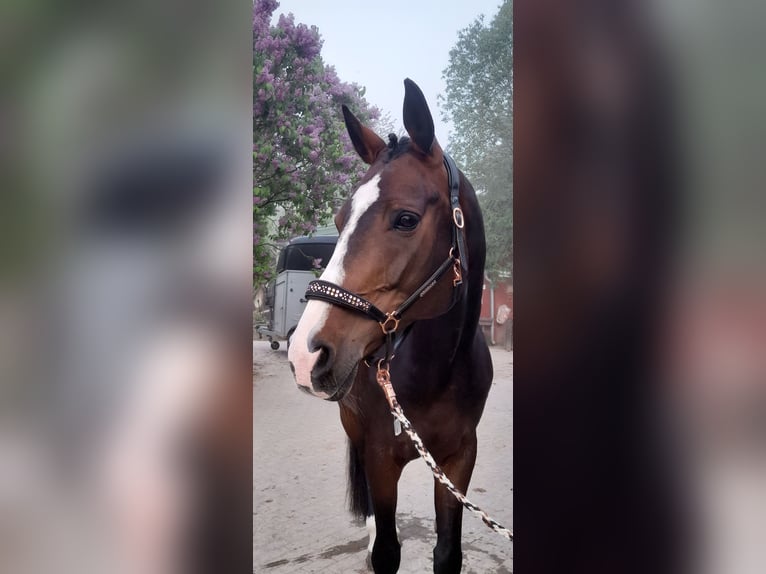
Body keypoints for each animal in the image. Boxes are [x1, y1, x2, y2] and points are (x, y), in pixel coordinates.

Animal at [287, 78, 494, 574]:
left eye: (405, 219)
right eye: (339, 221)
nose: (304, 353)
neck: (438, 372)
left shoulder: (459, 459)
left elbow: (447, 552)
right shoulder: (381, 458)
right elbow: (386, 550)